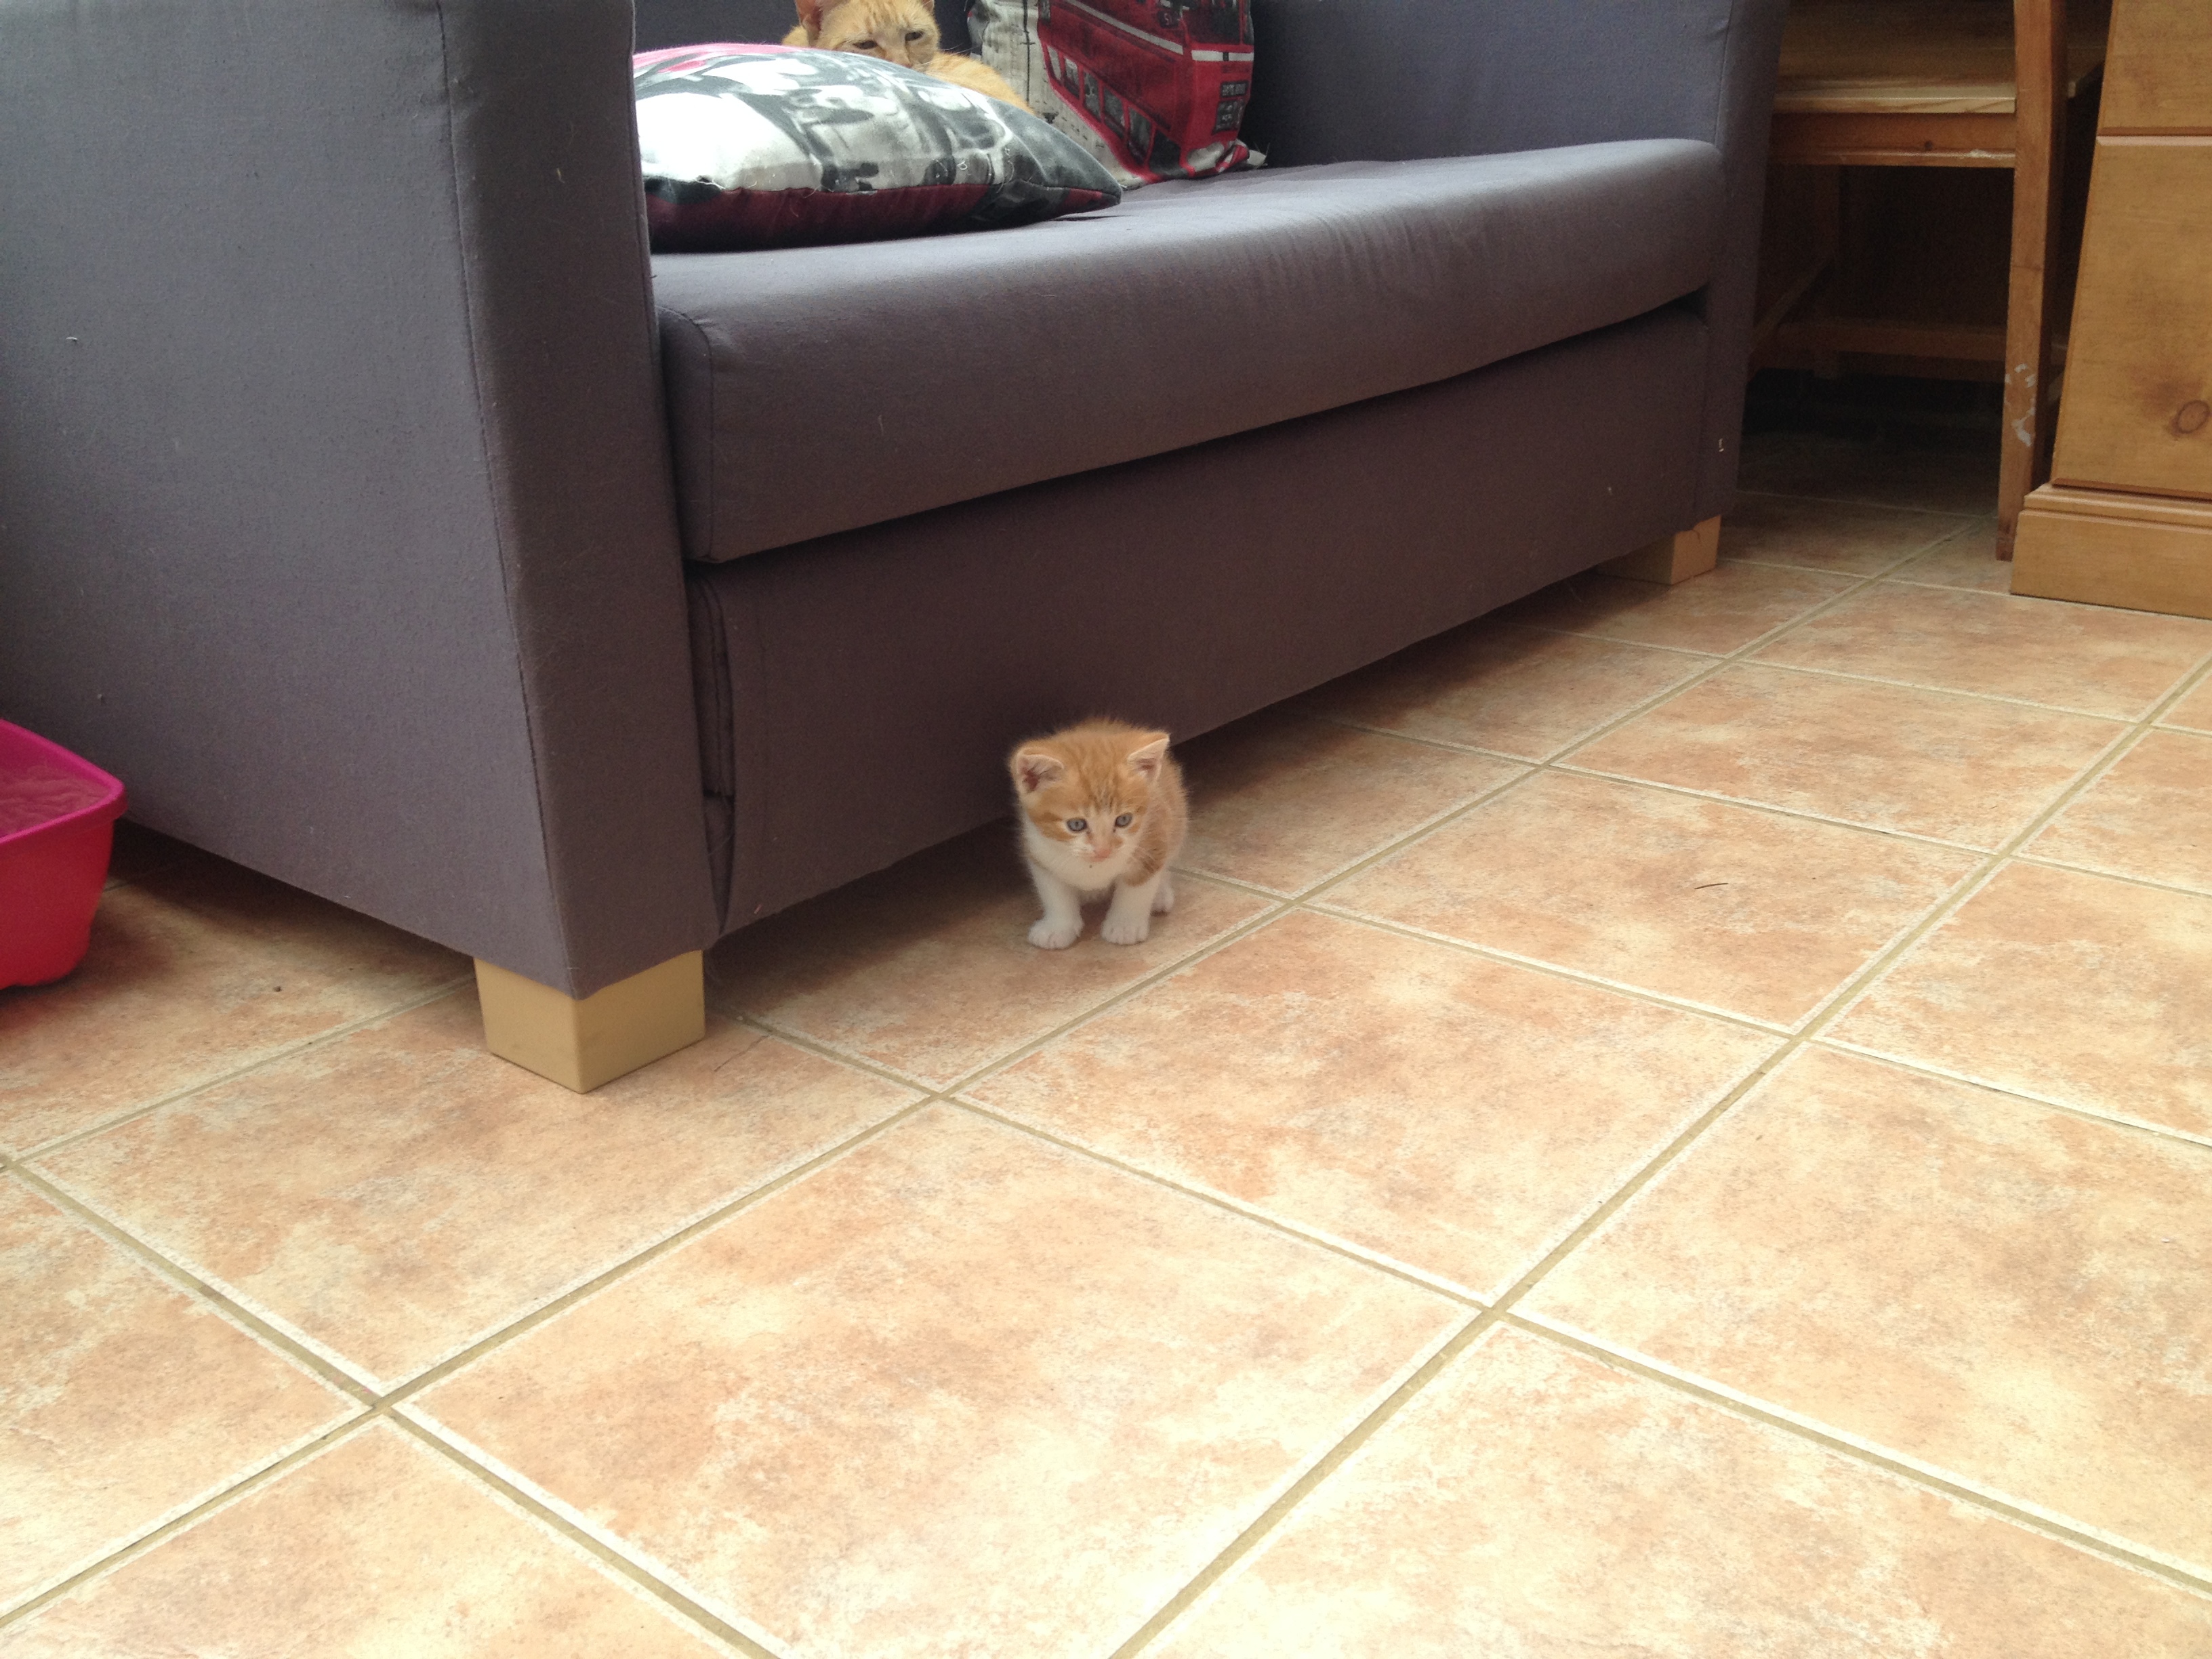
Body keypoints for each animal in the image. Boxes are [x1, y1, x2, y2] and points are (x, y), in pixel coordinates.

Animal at [1010, 720, 1186, 949]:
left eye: (1123, 820)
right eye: (1076, 824)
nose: (1104, 850)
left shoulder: (1154, 840)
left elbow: (1137, 890)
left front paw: (1124, 927)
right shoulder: (1038, 851)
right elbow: (1054, 892)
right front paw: (1057, 928)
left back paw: (1160, 896)